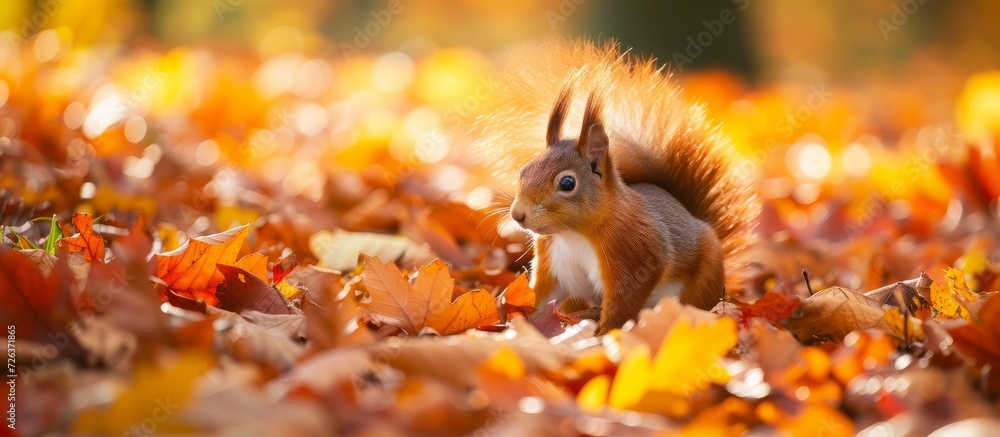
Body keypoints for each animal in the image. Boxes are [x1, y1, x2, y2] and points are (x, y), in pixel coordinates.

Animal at [474, 41, 756, 334]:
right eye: (524, 171)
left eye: (567, 183)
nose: (517, 214)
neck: (574, 234)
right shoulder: (552, 263)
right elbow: (540, 295)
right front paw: (511, 319)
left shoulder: (635, 253)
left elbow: (623, 303)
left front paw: (604, 334)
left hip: (705, 277)